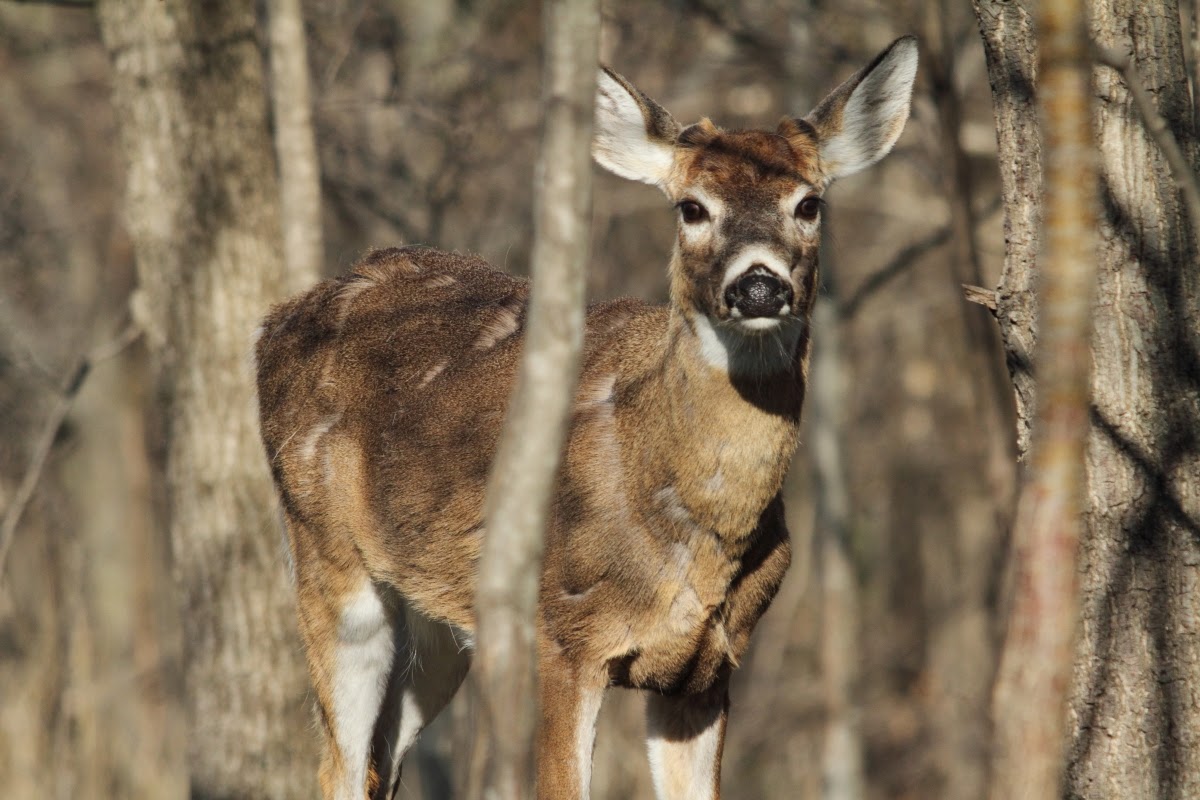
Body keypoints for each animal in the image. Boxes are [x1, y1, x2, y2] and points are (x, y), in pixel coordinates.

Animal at [255, 36, 917, 800]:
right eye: (691, 208)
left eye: (809, 203)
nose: (758, 285)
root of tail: (274, 323)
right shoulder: (562, 634)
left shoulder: (707, 668)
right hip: (329, 561)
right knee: (336, 762)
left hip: (438, 624)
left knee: (379, 760)